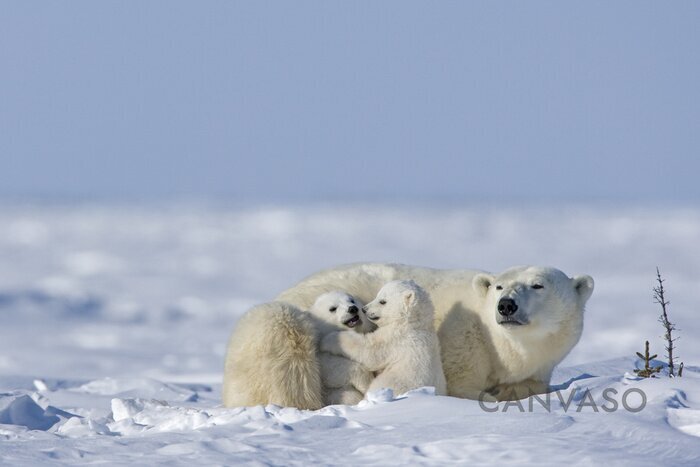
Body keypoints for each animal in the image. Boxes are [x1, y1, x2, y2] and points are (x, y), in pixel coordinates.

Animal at [223, 290, 378, 408]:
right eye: (332, 308)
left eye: (351, 300)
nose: (353, 309)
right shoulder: (320, 356)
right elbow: (336, 370)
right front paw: (366, 384)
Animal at [274, 264, 592, 402]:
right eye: (500, 286)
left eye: (538, 285)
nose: (506, 305)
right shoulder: (463, 337)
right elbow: (462, 384)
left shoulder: (540, 364)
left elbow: (529, 384)